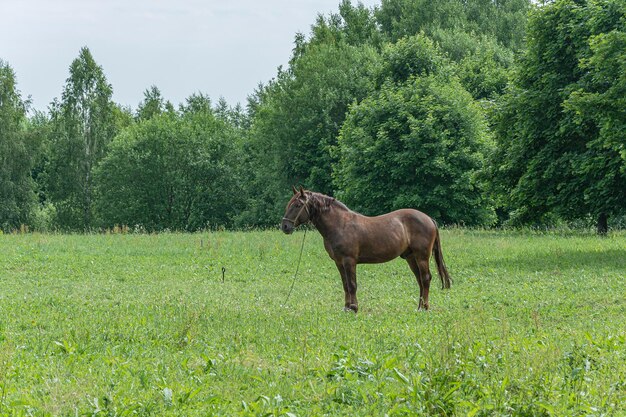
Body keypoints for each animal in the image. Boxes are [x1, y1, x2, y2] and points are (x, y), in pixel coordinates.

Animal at [282, 188, 448, 312]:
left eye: (297, 205)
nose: (284, 226)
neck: (340, 224)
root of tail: (429, 218)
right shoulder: (339, 262)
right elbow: (345, 285)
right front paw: (346, 307)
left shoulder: (349, 260)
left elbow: (352, 284)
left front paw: (354, 308)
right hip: (410, 257)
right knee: (420, 280)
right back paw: (419, 307)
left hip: (422, 257)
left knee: (425, 279)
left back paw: (424, 308)